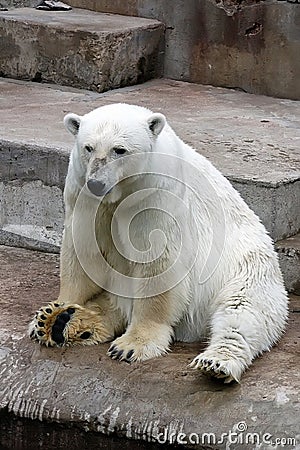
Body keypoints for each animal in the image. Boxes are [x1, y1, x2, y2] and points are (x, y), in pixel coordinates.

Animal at [28, 103, 288, 384]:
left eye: (120, 150)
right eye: (88, 147)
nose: (97, 183)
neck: (122, 193)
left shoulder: (155, 195)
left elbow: (157, 263)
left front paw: (132, 345)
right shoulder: (82, 195)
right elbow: (83, 252)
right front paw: (54, 310)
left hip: (245, 268)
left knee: (242, 313)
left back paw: (216, 362)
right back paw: (62, 322)